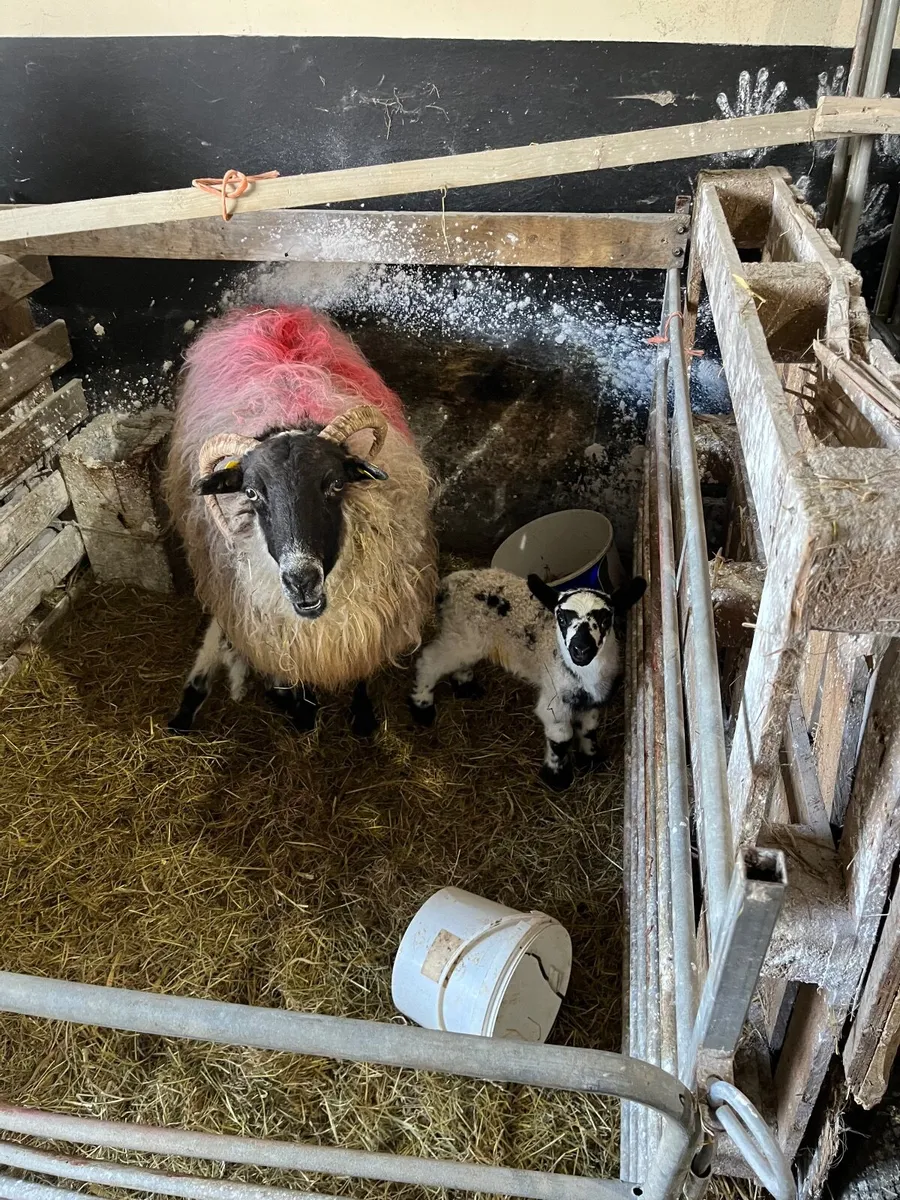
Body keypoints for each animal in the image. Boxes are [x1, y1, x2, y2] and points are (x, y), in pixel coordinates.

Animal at [164, 305, 437, 736]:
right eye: (252, 493)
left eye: (335, 483)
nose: (301, 580)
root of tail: (270, 309)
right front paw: (304, 712)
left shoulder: (369, 623)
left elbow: (362, 671)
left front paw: (362, 719)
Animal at [408, 568, 646, 789]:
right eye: (561, 618)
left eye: (606, 618)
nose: (581, 650)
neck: (585, 675)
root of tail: (449, 583)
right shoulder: (554, 701)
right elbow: (561, 739)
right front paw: (557, 778)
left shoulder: (592, 700)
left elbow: (589, 729)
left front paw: (591, 759)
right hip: (461, 634)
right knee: (429, 661)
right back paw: (422, 707)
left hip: (466, 637)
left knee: (458, 661)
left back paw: (466, 687)